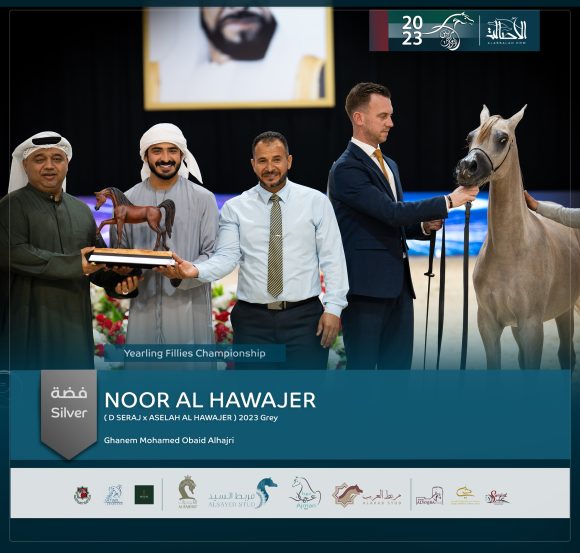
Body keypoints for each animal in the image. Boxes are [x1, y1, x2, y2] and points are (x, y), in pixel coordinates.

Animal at [455, 105, 580, 369]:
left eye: (503, 139)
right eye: (469, 138)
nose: (466, 168)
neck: (510, 252)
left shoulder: (531, 327)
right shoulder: (489, 325)